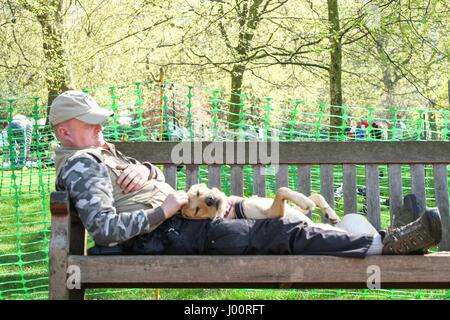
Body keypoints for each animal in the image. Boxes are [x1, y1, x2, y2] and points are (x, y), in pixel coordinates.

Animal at [180, 182, 342, 225]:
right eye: (196, 210)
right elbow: (281, 190)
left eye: (198, 193)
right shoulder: (273, 213)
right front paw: (306, 202)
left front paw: (331, 214)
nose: (209, 200)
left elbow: (317, 196)